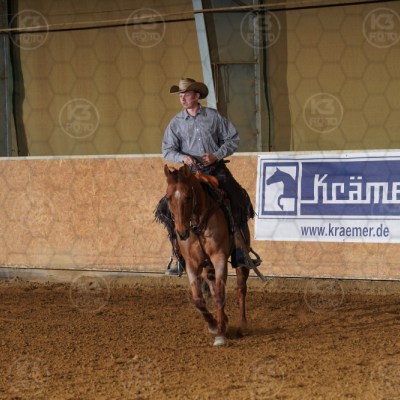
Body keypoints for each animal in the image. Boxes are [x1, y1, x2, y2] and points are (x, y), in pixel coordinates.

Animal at [163, 164, 250, 346]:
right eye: (168, 197)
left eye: (188, 196)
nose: (181, 232)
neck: (198, 226)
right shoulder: (191, 263)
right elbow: (198, 298)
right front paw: (213, 326)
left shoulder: (219, 258)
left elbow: (220, 294)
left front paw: (220, 335)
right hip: (206, 266)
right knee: (212, 285)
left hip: (242, 258)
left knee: (241, 288)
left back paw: (242, 325)